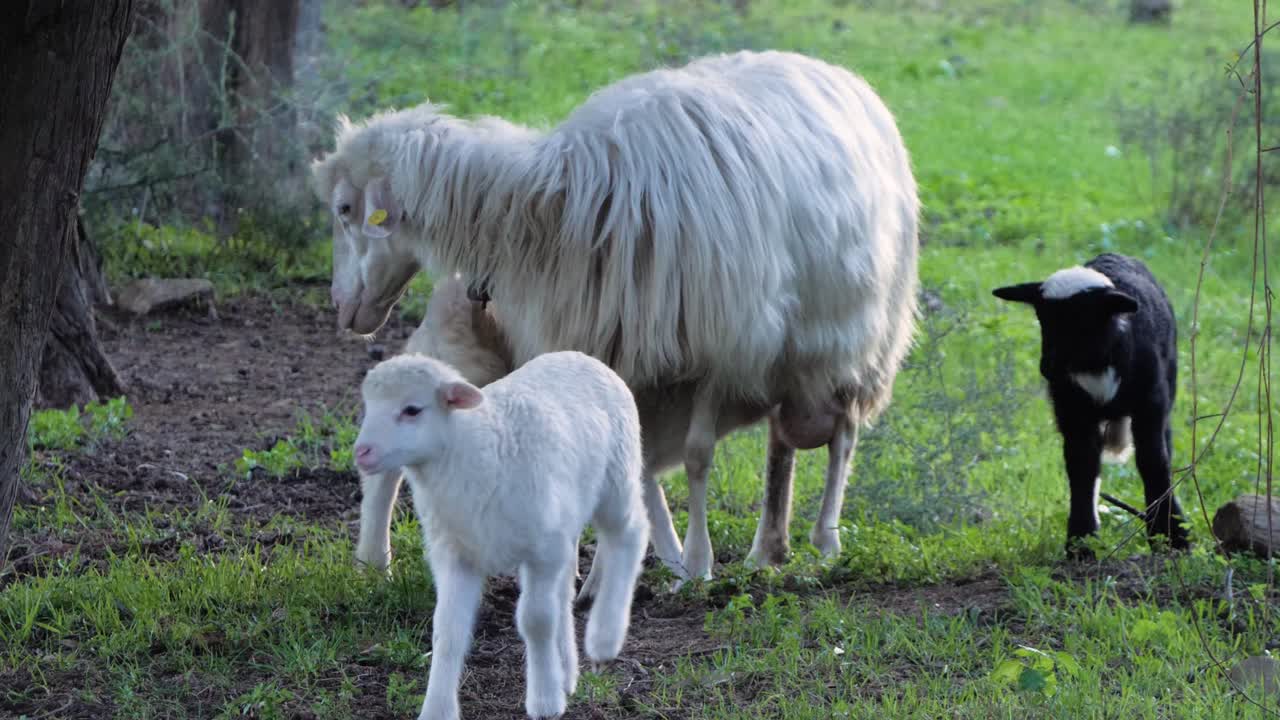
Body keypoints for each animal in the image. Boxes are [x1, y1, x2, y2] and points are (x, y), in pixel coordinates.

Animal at [312, 49, 921, 580]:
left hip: (856, 341)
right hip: (791, 360)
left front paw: (696, 562)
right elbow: (635, 458)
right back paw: (768, 549)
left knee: (842, 437)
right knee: (782, 442)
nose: (342, 307)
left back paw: (824, 540)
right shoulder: (617, 349)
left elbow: (696, 456)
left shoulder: (719, 348)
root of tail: (833, 70)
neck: (548, 208)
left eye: (344, 209)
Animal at [355, 349, 649, 720]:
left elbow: (536, 621)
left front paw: (545, 700)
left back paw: (604, 637)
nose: (361, 452)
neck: (473, 449)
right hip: (564, 521)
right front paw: (437, 709)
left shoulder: (541, 550)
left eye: (412, 410)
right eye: (368, 406)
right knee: (565, 589)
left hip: (616, 479)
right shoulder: (457, 554)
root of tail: (581, 356)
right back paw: (567, 670)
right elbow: (447, 632)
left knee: (630, 534)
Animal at [992, 252, 1191, 558]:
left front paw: (1171, 536)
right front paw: (1080, 542)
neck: (1095, 363)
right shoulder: (1072, 411)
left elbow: (1153, 461)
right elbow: (1082, 466)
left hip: (1166, 387)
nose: (1047, 368)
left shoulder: (1150, 402)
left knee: (1163, 448)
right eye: (1041, 319)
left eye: (1080, 322)